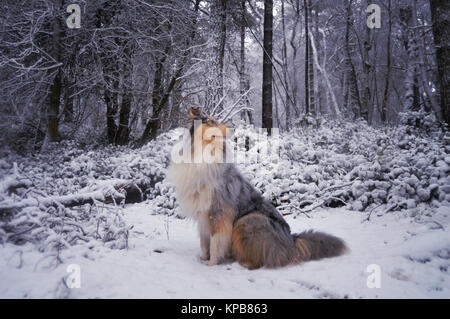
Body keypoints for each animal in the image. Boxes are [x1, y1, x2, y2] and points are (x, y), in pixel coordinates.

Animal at [167, 108, 346, 270]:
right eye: (211, 121)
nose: (232, 129)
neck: (203, 153)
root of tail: (291, 241)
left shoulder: (219, 212)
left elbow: (215, 242)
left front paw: (211, 263)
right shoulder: (204, 214)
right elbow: (204, 242)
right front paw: (204, 257)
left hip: (246, 221)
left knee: (262, 261)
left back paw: (243, 263)